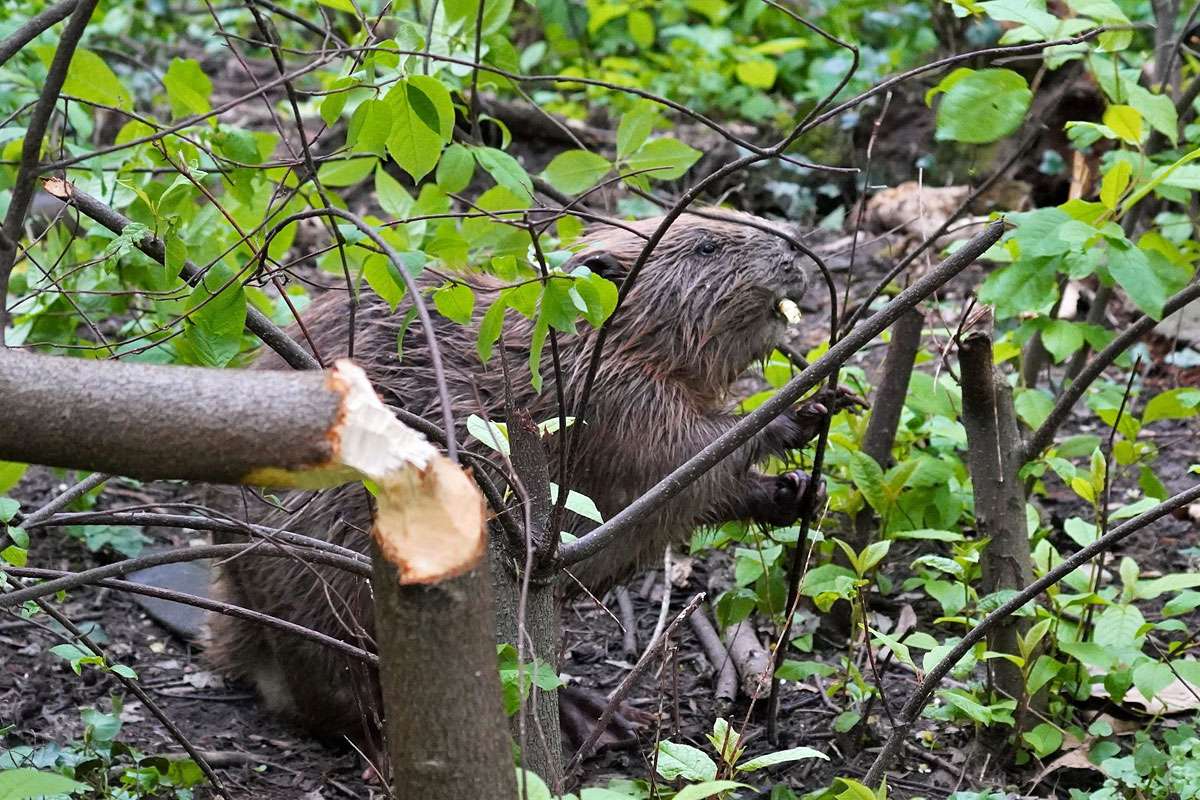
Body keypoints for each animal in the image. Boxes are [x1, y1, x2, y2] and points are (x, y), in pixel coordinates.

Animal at [206, 209, 825, 743]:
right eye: (706, 246)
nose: (796, 246)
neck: (577, 341)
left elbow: (692, 494)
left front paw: (798, 490)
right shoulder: (603, 398)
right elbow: (678, 453)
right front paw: (796, 415)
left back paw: (595, 714)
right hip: (317, 587)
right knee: (330, 691)